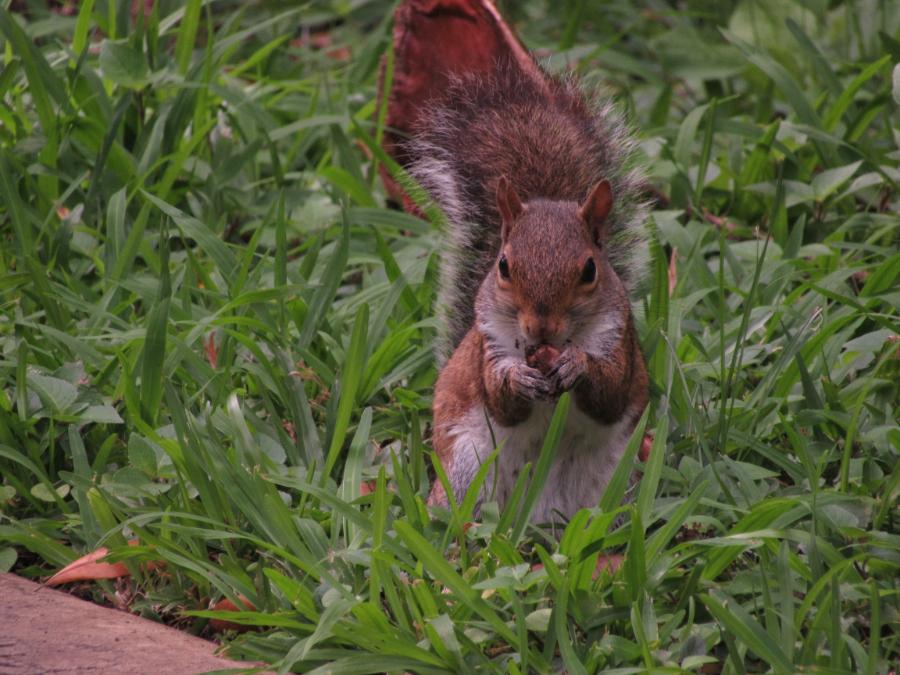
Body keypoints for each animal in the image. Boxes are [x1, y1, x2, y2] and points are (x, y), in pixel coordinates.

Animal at [406, 62, 651, 524]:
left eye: (589, 269)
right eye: (503, 265)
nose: (541, 328)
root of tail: (534, 517)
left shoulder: (618, 339)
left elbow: (610, 393)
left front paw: (577, 365)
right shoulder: (488, 344)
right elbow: (500, 399)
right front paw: (518, 378)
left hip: (614, 484)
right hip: (466, 467)